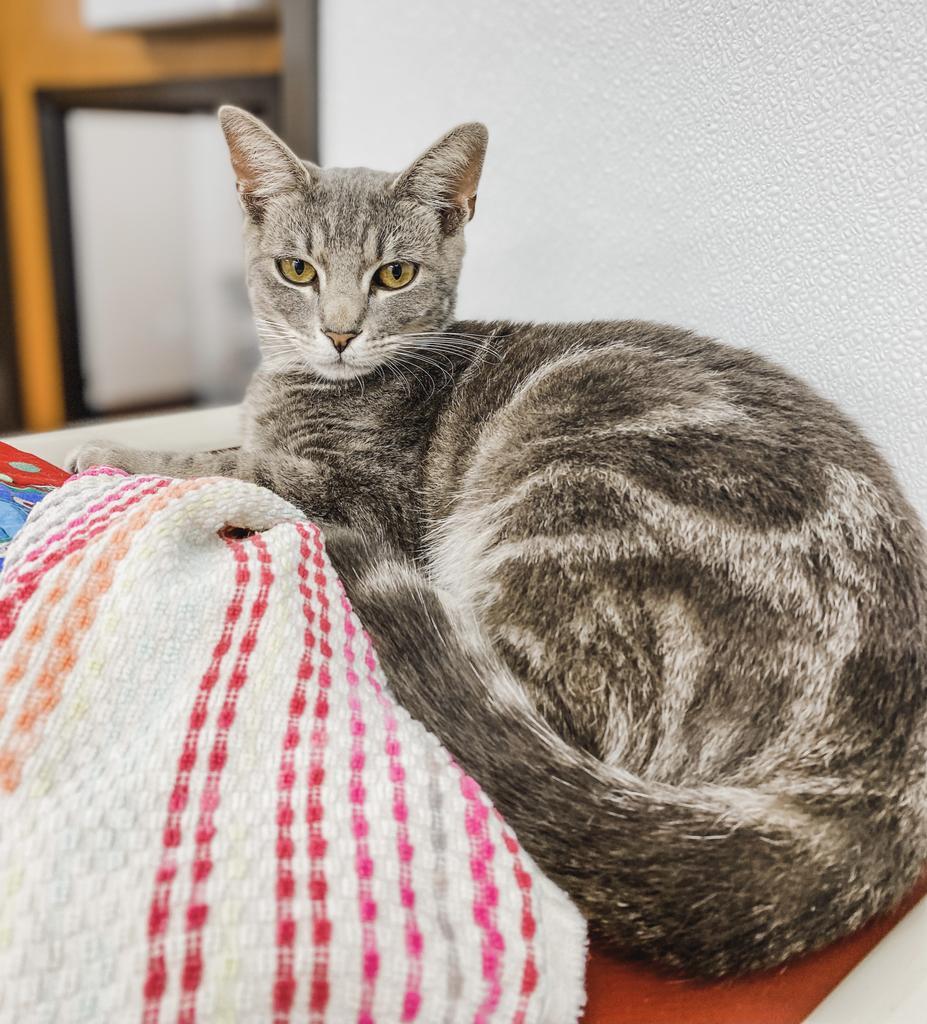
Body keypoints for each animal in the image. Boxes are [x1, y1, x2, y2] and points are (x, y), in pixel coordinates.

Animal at [70, 108, 925, 978]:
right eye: (296, 268)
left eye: (394, 275)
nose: (339, 333)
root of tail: (871, 795)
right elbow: (227, 445)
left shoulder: (355, 495)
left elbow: (225, 466)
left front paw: (111, 454)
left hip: (567, 512)